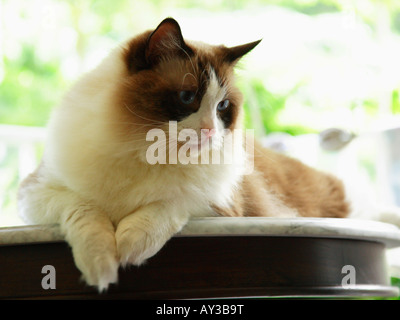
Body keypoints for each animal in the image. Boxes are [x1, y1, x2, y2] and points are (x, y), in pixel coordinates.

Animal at [18, 18, 350, 292]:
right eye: (188, 97)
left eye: (222, 107)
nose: (210, 131)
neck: (142, 150)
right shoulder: (35, 192)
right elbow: (86, 212)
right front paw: (101, 265)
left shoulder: (219, 205)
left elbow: (171, 203)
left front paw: (128, 244)